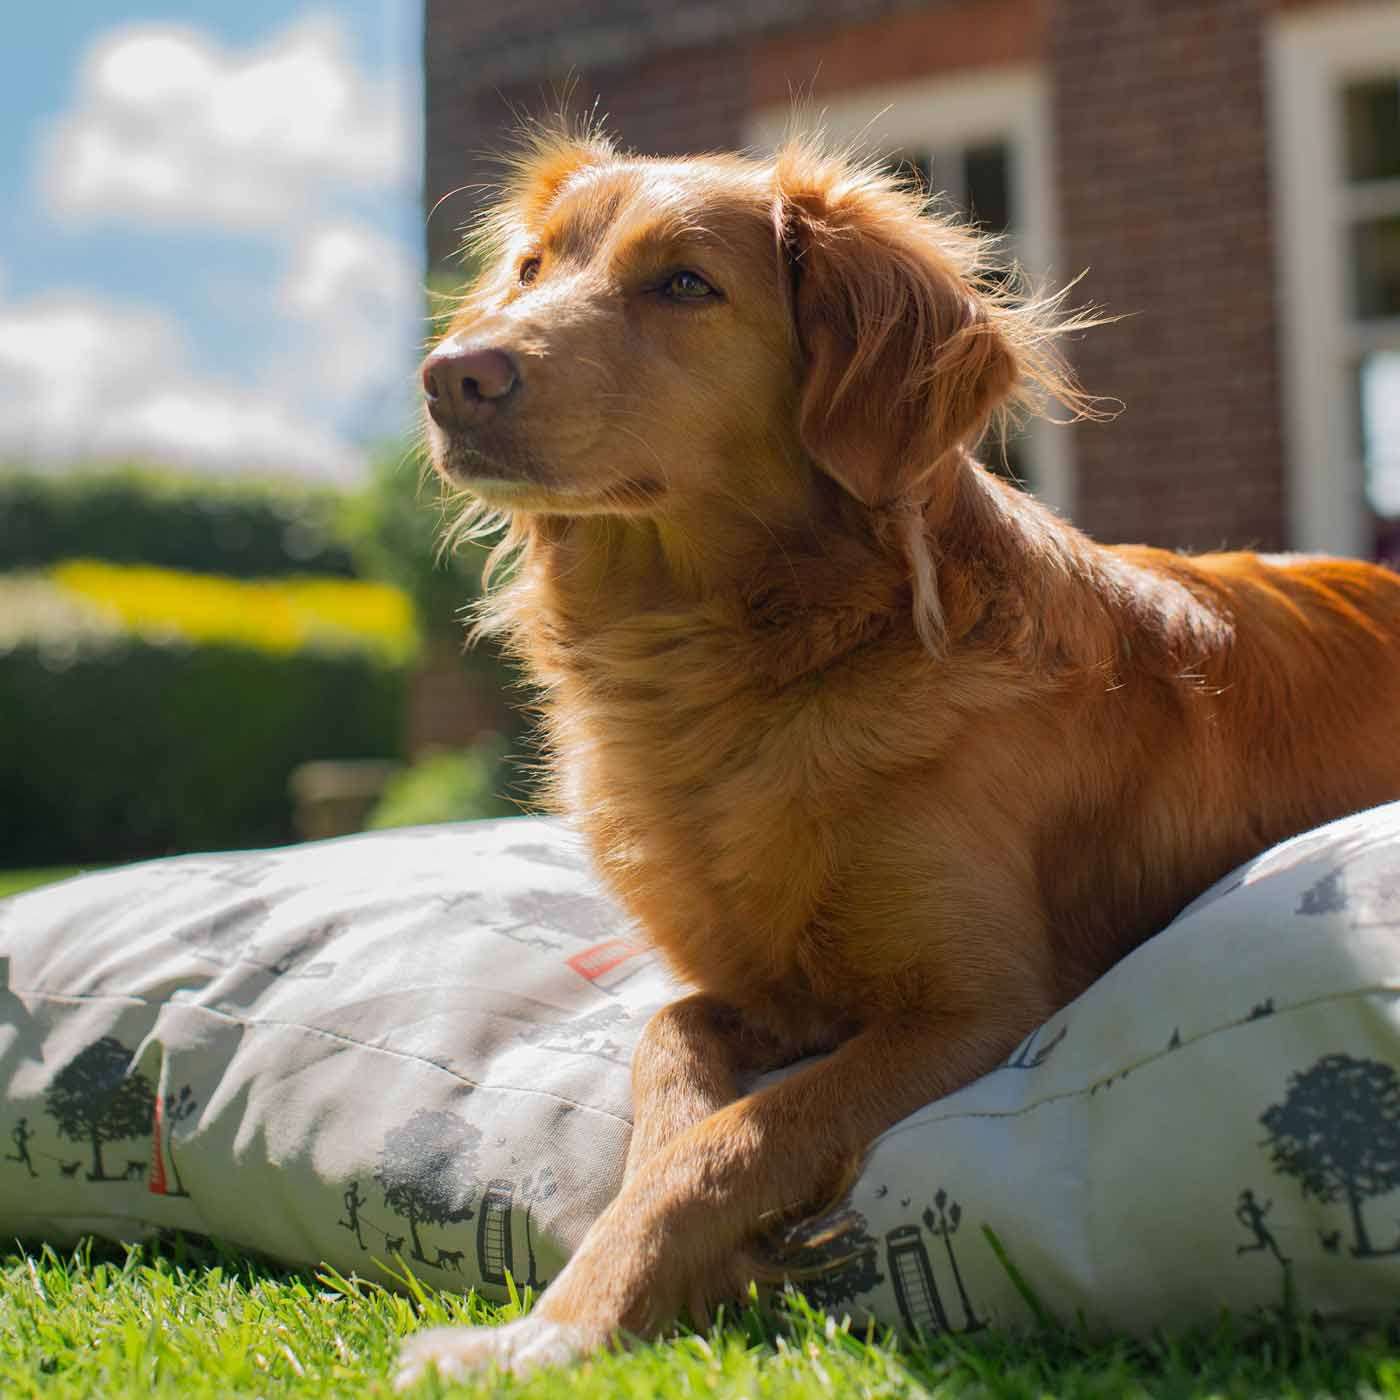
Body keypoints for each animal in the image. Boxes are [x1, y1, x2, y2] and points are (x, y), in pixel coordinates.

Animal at [392, 123, 1400, 1377]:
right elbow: (666, 1053)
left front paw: (563, 1320)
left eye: (684, 285)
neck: (735, 673)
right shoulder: (750, 986)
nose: (451, 375)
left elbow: (740, 1129)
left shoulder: (987, 1007)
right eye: (530, 268)